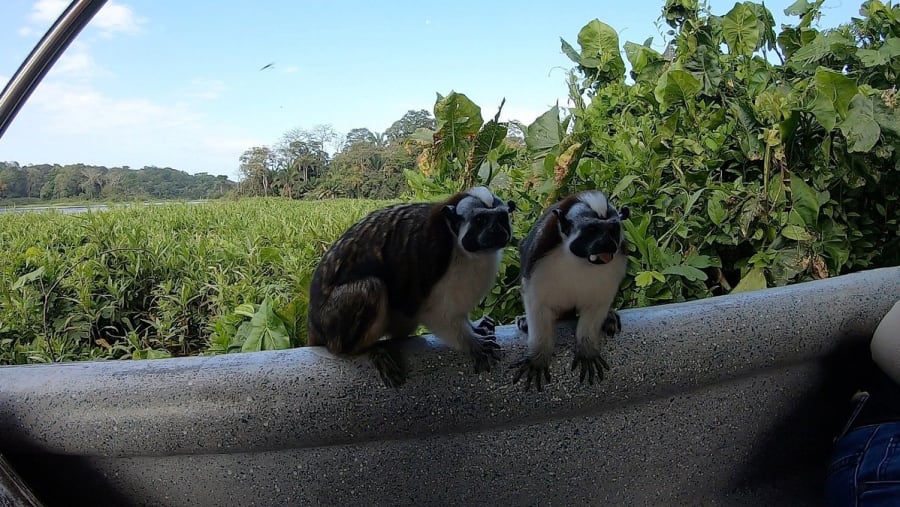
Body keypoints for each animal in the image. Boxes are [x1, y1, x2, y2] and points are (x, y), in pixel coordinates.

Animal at [307, 186, 516, 387]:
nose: (496, 230)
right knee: (371, 287)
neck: (457, 242)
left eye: (501, 218)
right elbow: (433, 312)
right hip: (332, 326)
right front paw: (471, 342)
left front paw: (474, 326)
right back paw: (365, 350)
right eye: (480, 220)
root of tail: (314, 324)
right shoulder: (433, 250)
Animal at [511, 190, 629, 391]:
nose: (607, 244)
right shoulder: (540, 251)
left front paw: (586, 348)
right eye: (592, 230)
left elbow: (597, 304)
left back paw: (609, 316)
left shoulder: (618, 258)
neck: (581, 260)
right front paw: (538, 355)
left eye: (613, 230)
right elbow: (537, 303)